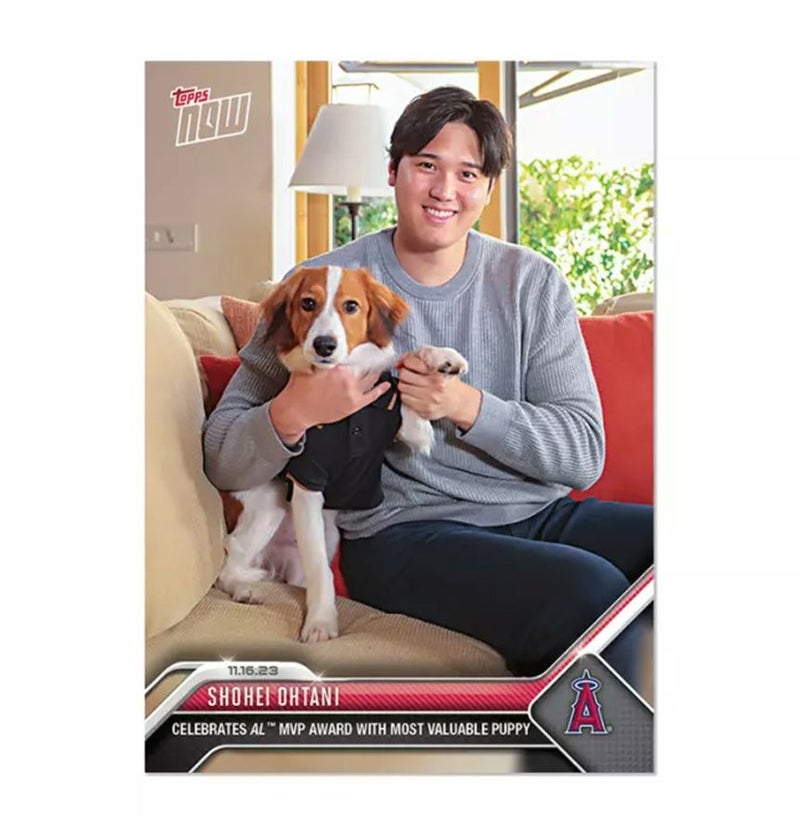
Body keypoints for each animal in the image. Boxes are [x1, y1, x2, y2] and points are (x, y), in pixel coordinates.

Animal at [215, 265, 468, 642]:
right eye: (308, 303)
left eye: (351, 306)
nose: (324, 345)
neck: (342, 374)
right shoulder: (307, 483)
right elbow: (322, 569)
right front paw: (321, 622)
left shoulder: (398, 423)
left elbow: (405, 378)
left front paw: (440, 359)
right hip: (271, 504)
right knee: (231, 556)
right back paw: (245, 588)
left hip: (319, 542)